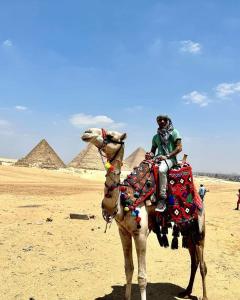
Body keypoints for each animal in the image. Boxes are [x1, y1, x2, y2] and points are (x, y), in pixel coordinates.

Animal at [81, 127, 208, 300]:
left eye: (111, 136)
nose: (87, 132)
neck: (125, 200)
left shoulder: (140, 233)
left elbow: (142, 277)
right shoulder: (123, 232)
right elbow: (128, 269)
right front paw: (127, 297)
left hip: (199, 227)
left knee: (202, 264)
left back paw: (204, 296)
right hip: (186, 229)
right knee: (193, 261)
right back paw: (186, 292)